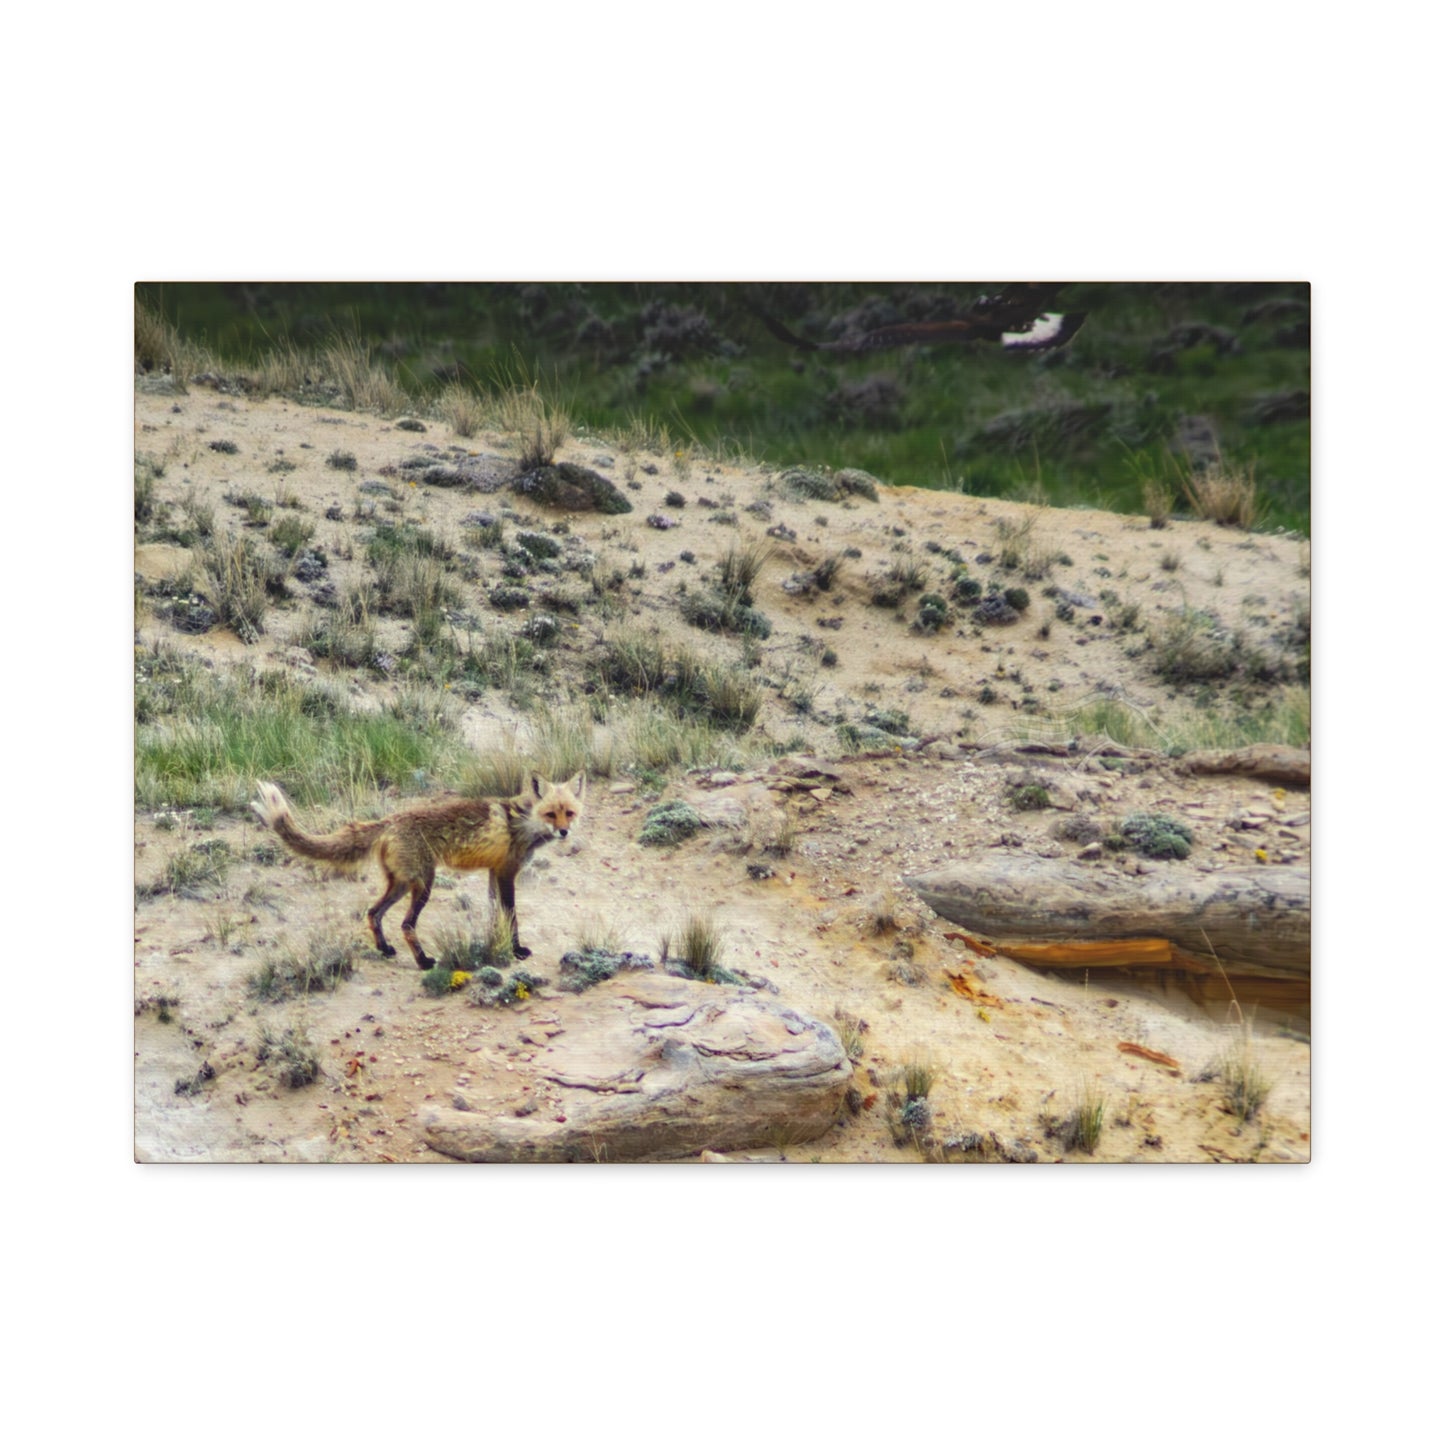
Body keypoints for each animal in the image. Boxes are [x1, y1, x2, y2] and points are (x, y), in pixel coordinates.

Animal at [251, 773, 585, 969]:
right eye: (551, 813)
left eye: (569, 812)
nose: (564, 832)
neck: (523, 822)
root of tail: (390, 820)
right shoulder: (506, 873)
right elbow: (511, 916)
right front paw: (516, 950)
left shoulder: (494, 872)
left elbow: (495, 916)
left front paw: (496, 945)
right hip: (425, 884)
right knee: (406, 924)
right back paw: (423, 961)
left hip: (400, 884)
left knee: (373, 913)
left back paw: (385, 949)